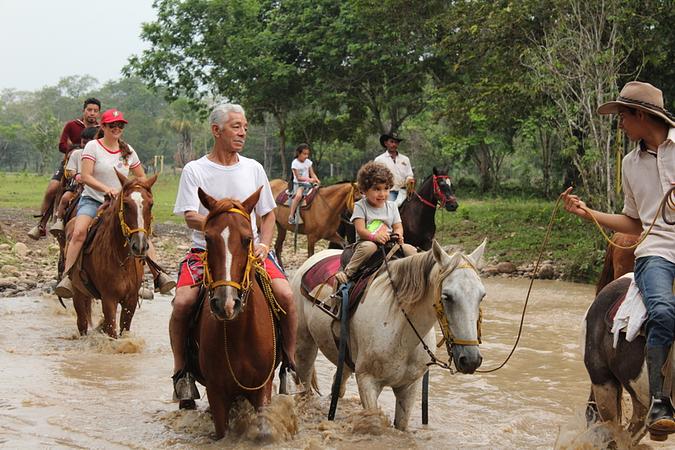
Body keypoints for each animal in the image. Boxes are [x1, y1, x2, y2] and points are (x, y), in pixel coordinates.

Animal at [69, 173, 158, 338]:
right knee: (82, 323)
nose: (140, 246)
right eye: (127, 204)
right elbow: (111, 331)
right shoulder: (109, 299)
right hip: (78, 292)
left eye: (151, 204)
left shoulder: (131, 300)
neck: (122, 261)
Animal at [191, 187, 278, 440]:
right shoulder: (216, 392)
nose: (226, 303)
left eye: (248, 239)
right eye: (207, 238)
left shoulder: (262, 388)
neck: (238, 335)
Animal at [292, 239, 486, 428]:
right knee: (304, 384)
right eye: (447, 296)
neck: (402, 334)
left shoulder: (409, 387)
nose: (471, 360)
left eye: (482, 296)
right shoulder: (367, 382)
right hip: (304, 345)